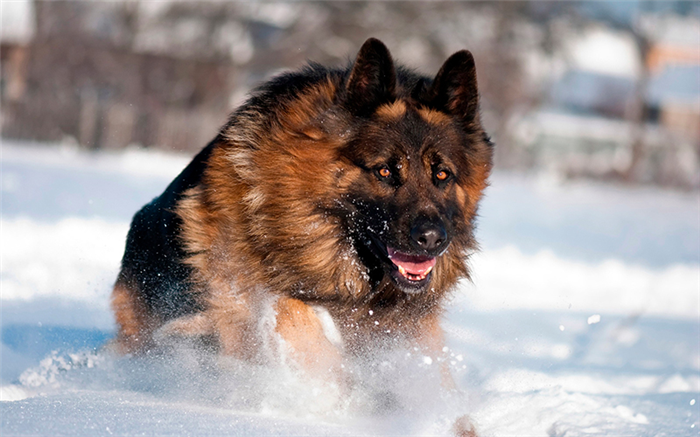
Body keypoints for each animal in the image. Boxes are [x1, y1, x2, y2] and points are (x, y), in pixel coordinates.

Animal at [110, 39, 492, 434]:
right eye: (385, 171)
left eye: (442, 174)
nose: (432, 239)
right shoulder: (242, 297)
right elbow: (295, 316)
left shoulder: (411, 333)